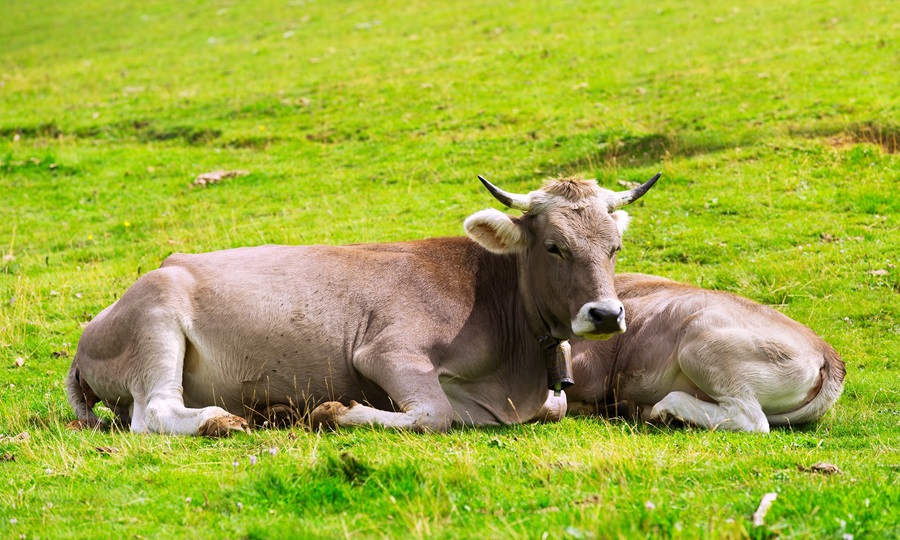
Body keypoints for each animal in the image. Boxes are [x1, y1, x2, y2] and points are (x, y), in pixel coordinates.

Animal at [67, 175, 660, 436]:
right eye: (554, 246)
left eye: (615, 246)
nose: (606, 315)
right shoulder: (386, 352)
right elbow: (434, 414)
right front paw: (333, 411)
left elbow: (546, 407)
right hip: (156, 318)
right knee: (153, 413)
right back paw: (225, 419)